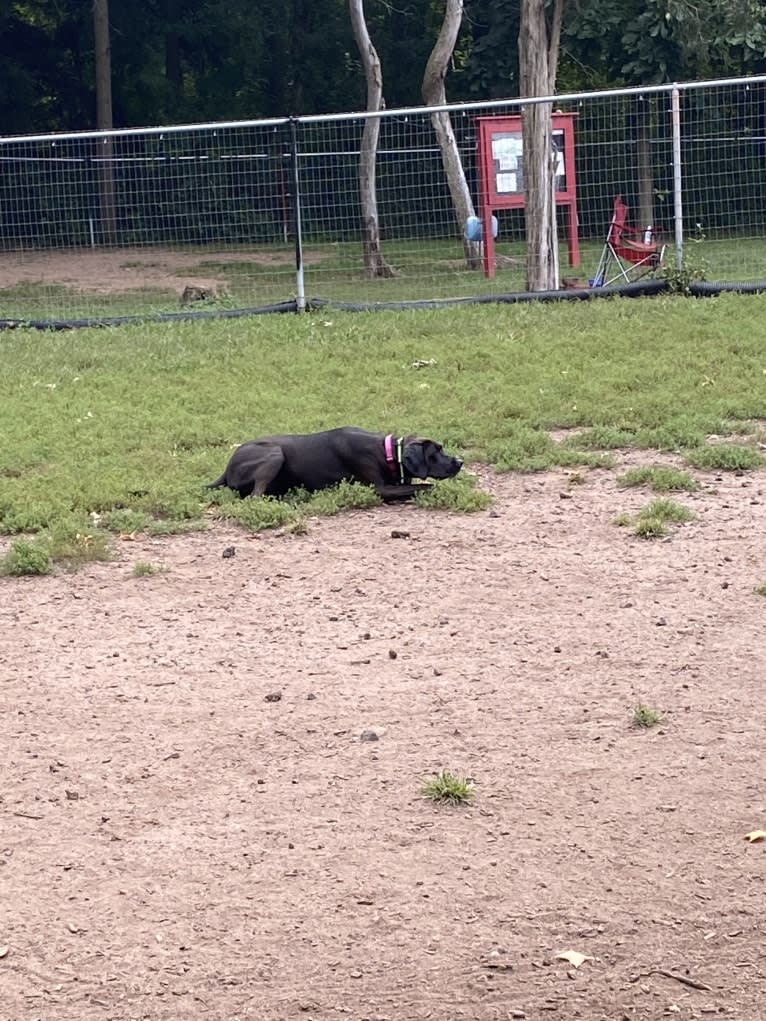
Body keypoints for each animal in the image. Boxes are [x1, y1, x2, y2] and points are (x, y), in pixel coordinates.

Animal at [207, 424, 465, 500]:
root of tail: (226, 469)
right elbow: (426, 485)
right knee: (255, 496)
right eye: (436, 451)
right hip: (274, 453)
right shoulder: (380, 489)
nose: (461, 461)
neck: (388, 452)